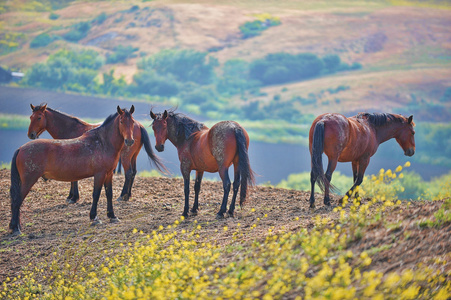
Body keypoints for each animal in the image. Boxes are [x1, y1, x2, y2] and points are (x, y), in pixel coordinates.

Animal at [10, 106, 136, 236]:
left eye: (132, 122)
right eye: (121, 121)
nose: (129, 141)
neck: (102, 142)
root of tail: (20, 149)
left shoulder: (109, 174)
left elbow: (109, 194)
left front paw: (112, 216)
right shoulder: (99, 174)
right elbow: (96, 194)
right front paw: (94, 218)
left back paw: (16, 226)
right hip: (28, 181)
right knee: (17, 200)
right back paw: (16, 229)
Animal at [27, 103, 166, 204]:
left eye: (39, 117)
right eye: (30, 117)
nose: (31, 134)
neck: (70, 129)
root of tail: (139, 125)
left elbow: (73, 180)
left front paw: (73, 197)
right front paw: (71, 196)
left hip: (125, 156)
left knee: (128, 173)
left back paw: (122, 196)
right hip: (133, 156)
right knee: (133, 173)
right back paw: (128, 195)